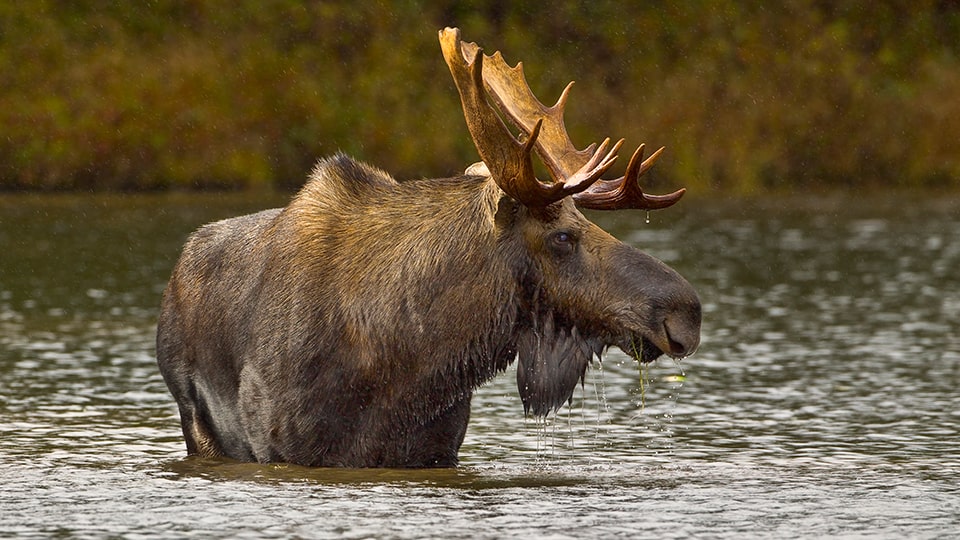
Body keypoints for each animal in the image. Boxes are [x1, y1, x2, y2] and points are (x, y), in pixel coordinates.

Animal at [156, 28, 696, 468]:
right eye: (563, 236)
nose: (687, 312)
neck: (414, 360)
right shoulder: (283, 446)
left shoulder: (436, 449)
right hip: (197, 423)